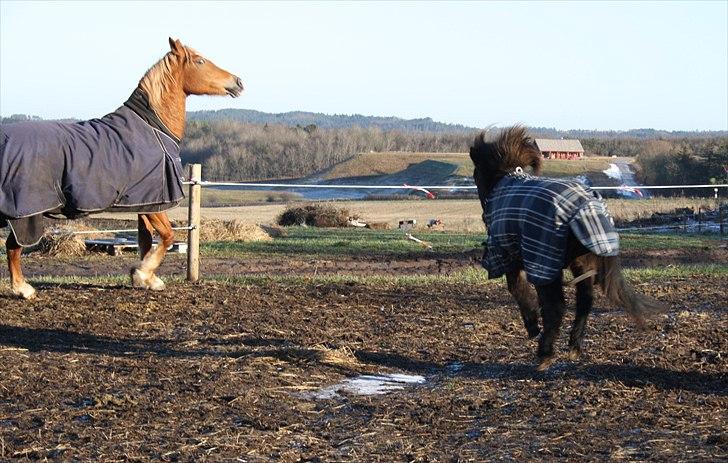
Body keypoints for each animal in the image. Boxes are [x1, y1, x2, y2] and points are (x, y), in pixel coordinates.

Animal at [0, 40, 245, 300]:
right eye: (200, 61)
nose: (238, 82)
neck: (152, 127)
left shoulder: (147, 203)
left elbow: (146, 240)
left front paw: (148, 279)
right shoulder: (155, 204)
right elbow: (167, 236)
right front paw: (142, 273)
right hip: (25, 215)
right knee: (13, 247)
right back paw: (23, 289)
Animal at [470, 126, 664, 370]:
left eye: (476, 175)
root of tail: (585, 206)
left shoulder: (509, 255)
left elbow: (517, 289)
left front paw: (532, 325)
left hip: (546, 265)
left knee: (556, 307)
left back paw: (545, 352)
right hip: (581, 264)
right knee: (585, 302)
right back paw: (574, 345)